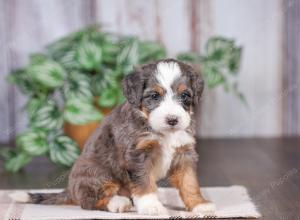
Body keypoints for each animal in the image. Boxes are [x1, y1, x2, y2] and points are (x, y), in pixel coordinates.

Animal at [9, 58, 216, 215]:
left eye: (185, 96)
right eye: (155, 96)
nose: (172, 119)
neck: (163, 132)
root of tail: (70, 190)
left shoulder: (184, 152)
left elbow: (189, 182)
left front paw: (199, 205)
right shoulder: (138, 155)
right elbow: (144, 183)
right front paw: (152, 206)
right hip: (98, 174)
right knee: (90, 201)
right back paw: (118, 202)